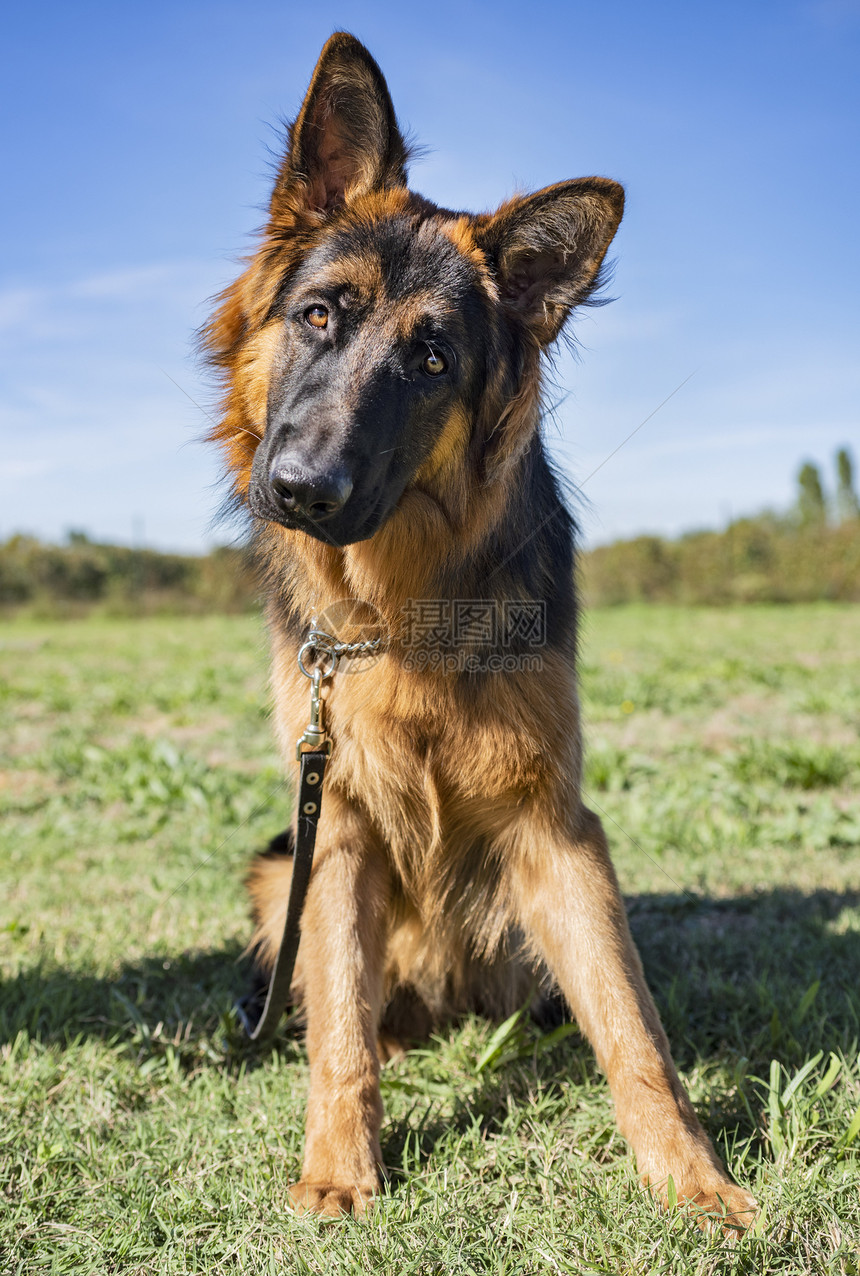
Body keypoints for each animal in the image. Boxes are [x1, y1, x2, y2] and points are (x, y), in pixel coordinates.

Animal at [202, 29, 755, 1224]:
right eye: (320, 314)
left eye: (432, 361)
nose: (301, 490)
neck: (398, 610)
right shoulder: (338, 822)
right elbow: (341, 1027)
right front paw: (338, 1167)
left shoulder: (557, 830)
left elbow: (632, 1030)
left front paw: (690, 1177)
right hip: (279, 869)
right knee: (350, 1004)